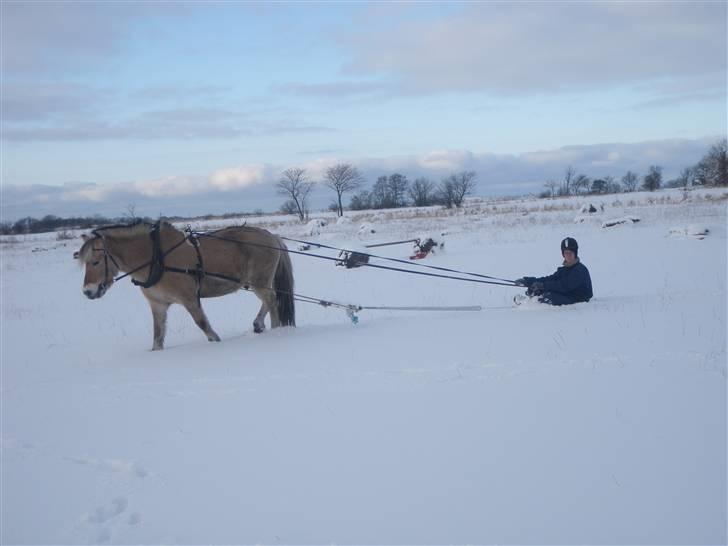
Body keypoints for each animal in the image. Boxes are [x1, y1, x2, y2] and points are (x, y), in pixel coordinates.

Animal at [77, 220, 296, 348]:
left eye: (95, 262)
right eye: (84, 262)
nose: (88, 291)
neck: (156, 257)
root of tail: (272, 236)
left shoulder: (190, 299)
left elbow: (203, 325)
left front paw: (216, 342)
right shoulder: (158, 305)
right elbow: (157, 336)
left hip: (260, 282)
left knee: (272, 301)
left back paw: (274, 330)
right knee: (270, 301)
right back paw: (260, 325)